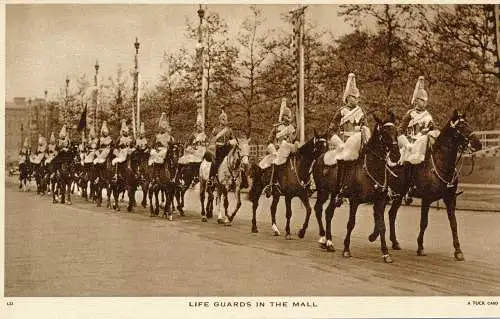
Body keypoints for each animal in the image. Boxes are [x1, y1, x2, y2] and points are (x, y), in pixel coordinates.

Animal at [384, 110, 482, 262]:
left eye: (469, 123)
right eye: (460, 127)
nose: (478, 144)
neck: (440, 163)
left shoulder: (450, 199)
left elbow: (453, 223)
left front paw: (458, 251)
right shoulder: (426, 199)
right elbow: (424, 223)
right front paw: (420, 247)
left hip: (399, 195)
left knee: (391, 214)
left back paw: (395, 243)